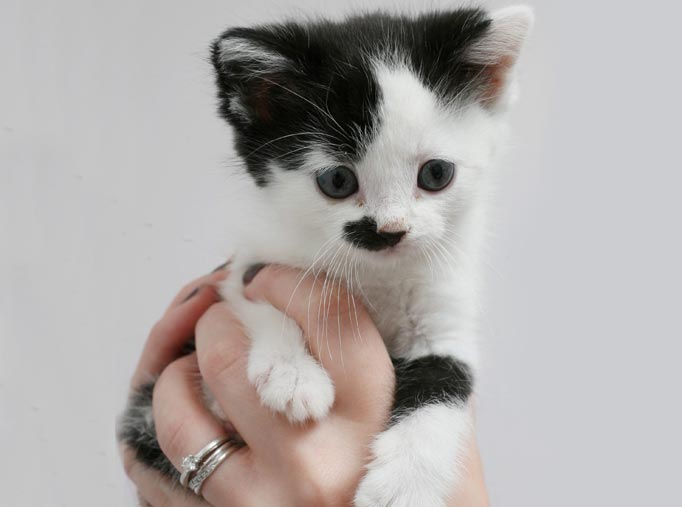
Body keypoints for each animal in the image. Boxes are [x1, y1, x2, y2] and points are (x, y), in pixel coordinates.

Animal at [118, 5, 532, 506]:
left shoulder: (445, 315)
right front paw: (292, 373)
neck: (378, 273)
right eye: (337, 181)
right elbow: (249, 293)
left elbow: (445, 379)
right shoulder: (251, 263)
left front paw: (406, 481)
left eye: (436, 174)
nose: (390, 230)